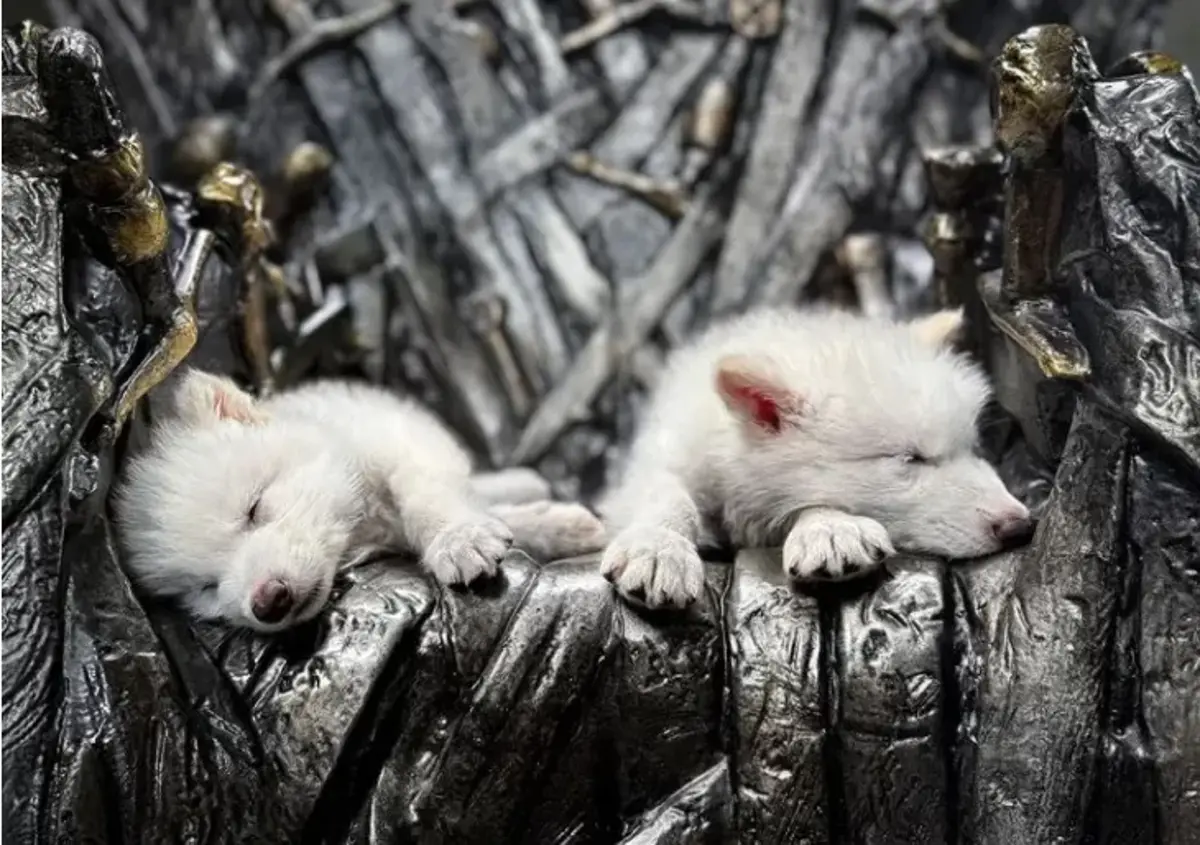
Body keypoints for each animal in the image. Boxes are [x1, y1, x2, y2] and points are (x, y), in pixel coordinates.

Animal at [114, 371, 606, 632]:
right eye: (206, 588)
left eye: (254, 509)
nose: (267, 602)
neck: (359, 526)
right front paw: (553, 527)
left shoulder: (401, 442)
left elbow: (428, 495)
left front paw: (458, 538)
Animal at [598, 306, 1032, 609]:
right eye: (911, 459)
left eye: (972, 448)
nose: (1021, 526)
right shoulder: (662, 457)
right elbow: (666, 495)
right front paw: (658, 548)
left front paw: (830, 528)